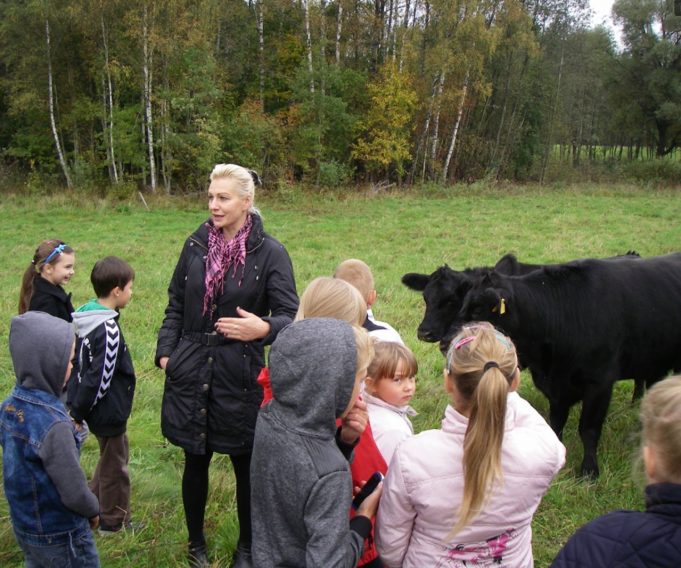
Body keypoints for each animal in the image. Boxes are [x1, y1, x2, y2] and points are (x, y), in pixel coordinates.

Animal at [456, 254, 680, 480]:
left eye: (477, 310)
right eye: (463, 306)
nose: (452, 339)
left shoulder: (599, 383)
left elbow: (588, 429)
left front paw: (589, 470)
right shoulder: (556, 387)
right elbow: (556, 423)